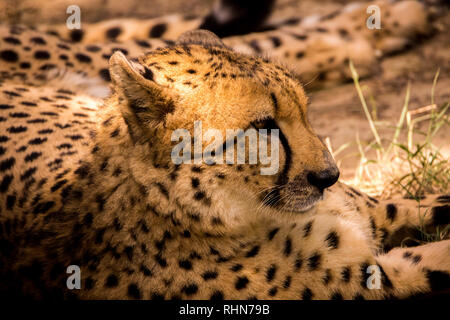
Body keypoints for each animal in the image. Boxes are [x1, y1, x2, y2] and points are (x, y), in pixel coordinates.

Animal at [0, 28, 450, 300]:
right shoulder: (383, 279)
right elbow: (435, 260)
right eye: (264, 126)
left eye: (305, 112)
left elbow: (424, 206)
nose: (330, 176)